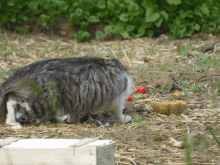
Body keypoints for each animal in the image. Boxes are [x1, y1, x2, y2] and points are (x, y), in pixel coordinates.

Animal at [0, 57, 131, 129]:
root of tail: (23, 71)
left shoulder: (77, 101)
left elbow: (73, 117)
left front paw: (73, 122)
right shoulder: (117, 98)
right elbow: (117, 113)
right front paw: (124, 118)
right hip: (40, 103)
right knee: (11, 100)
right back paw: (12, 122)